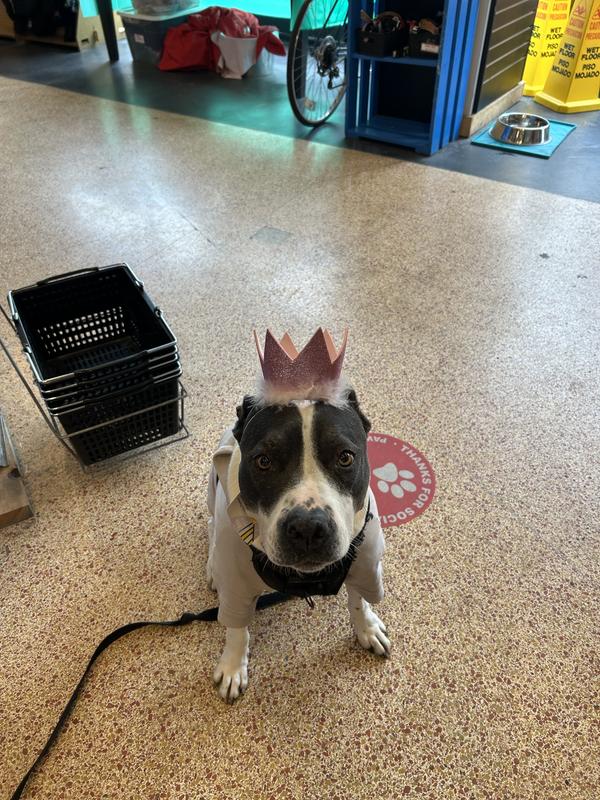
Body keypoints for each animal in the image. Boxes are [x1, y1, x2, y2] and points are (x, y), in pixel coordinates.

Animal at [206, 387, 389, 702]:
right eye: (263, 461)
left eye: (345, 457)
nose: (307, 528)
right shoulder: (235, 583)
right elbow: (236, 627)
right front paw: (232, 666)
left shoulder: (365, 564)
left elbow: (359, 599)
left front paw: (366, 627)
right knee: (210, 528)